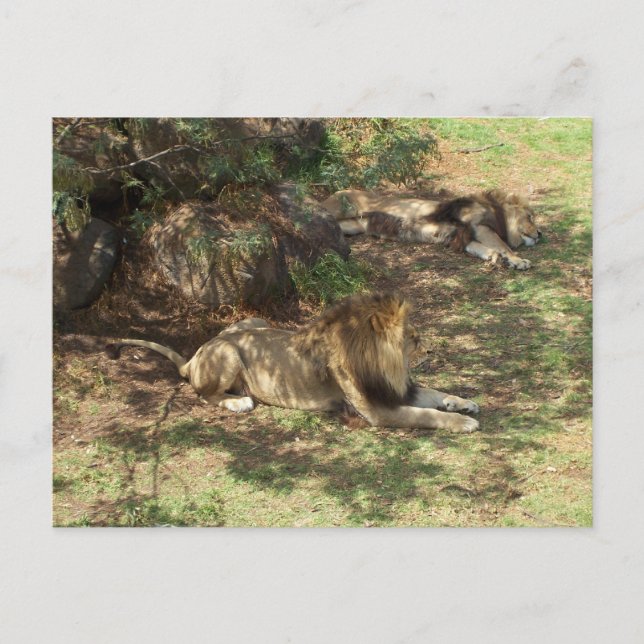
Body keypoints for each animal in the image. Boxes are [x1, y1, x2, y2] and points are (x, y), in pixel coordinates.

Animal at [106, 293, 480, 433]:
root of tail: (196, 353)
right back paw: (239, 401)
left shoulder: (396, 389)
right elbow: (425, 414)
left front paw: (465, 402)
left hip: (254, 322)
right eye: (414, 339)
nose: (429, 352)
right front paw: (463, 423)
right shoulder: (376, 409)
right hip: (228, 352)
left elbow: (434, 394)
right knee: (203, 394)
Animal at [320, 189, 541, 270]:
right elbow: (503, 245)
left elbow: (482, 248)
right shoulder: (478, 225)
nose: (540, 234)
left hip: (351, 226)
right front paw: (518, 260)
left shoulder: (459, 235)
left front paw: (494, 257)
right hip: (340, 208)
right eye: (530, 217)